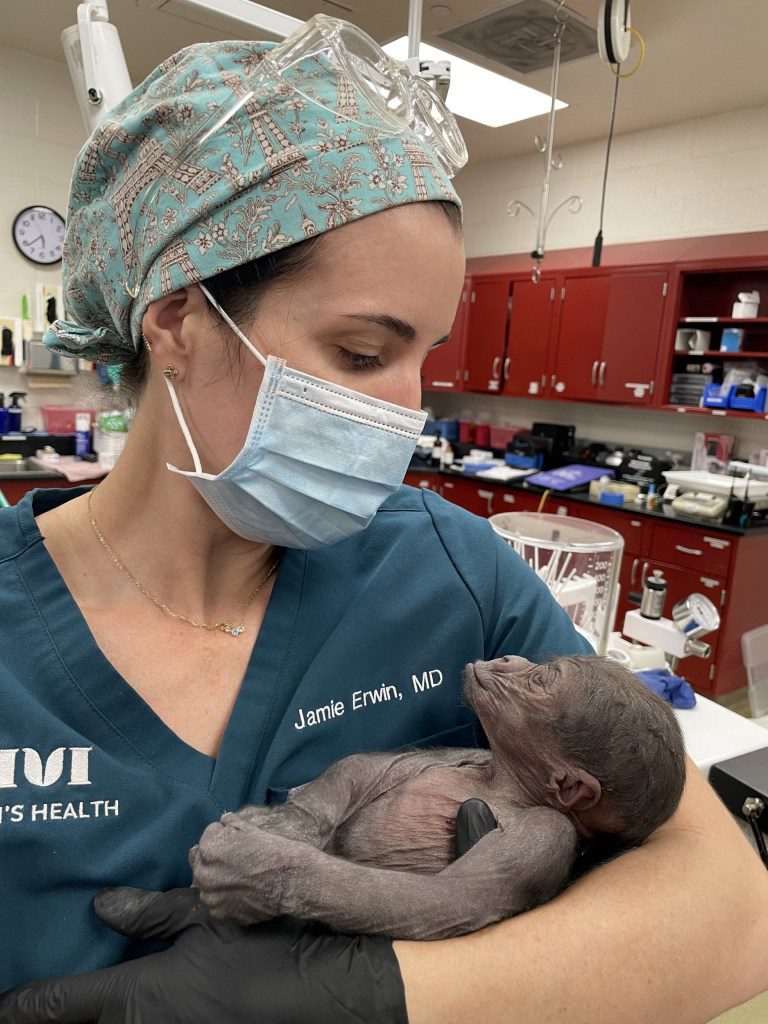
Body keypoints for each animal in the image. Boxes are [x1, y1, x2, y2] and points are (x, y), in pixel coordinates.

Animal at [191, 659, 684, 937]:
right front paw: (284, 824)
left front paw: (253, 867)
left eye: (540, 679)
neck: (504, 785)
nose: (510, 656)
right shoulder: (468, 758)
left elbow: (446, 900)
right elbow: (369, 766)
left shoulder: (547, 834)